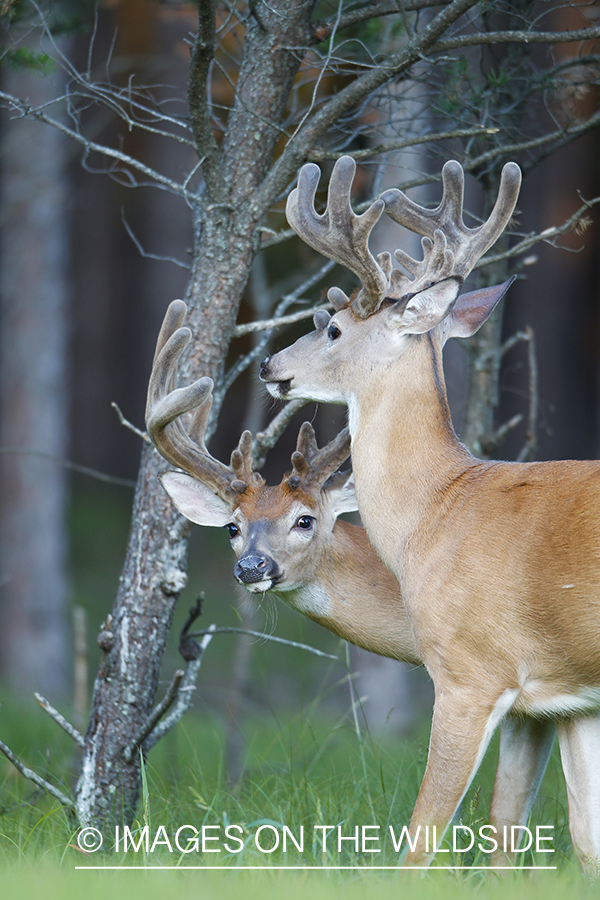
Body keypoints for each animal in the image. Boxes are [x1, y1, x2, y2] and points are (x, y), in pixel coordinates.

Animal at [258, 156, 600, 872]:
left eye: (333, 328)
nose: (272, 364)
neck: (438, 506)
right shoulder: (574, 692)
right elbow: (587, 838)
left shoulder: (471, 670)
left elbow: (423, 836)